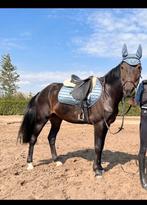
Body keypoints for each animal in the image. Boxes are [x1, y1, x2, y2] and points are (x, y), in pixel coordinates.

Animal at [17, 44, 142, 178]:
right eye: (122, 67)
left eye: (139, 67)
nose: (128, 90)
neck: (106, 94)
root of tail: (42, 92)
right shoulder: (99, 124)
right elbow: (98, 146)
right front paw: (97, 170)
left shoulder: (105, 125)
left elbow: (101, 146)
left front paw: (100, 168)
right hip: (41, 120)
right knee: (33, 139)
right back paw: (30, 164)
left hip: (56, 120)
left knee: (51, 138)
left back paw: (57, 161)